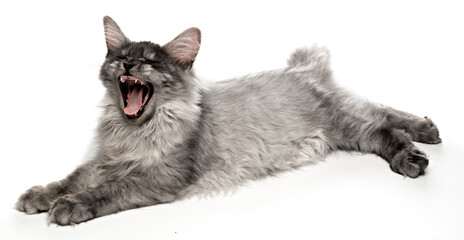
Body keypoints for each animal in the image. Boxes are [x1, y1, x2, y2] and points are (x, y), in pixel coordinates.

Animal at [15, 16, 442, 225]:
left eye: (151, 62)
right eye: (119, 57)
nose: (129, 65)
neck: (136, 129)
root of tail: (301, 71)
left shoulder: (161, 177)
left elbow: (105, 191)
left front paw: (70, 206)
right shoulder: (106, 160)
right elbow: (71, 178)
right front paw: (40, 195)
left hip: (347, 128)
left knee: (384, 129)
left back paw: (412, 157)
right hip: (346, 120)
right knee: (383, 111)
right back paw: (429, 129)